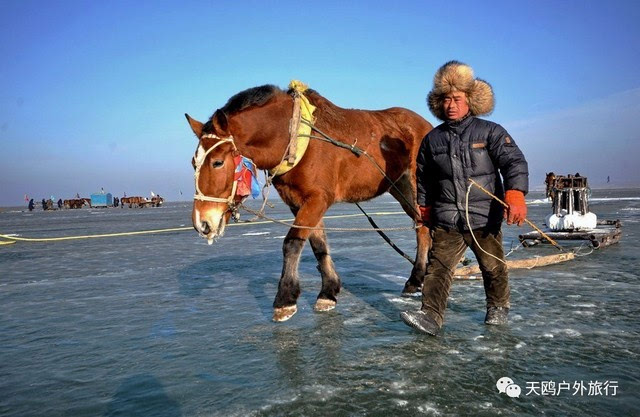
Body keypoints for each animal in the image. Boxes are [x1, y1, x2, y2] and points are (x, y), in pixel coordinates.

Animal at [188, 83, 432, 318]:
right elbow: (318, 244)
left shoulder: (318, 198)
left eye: (217, 162)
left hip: (415, 185)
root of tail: (426, 125)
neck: (292, 137)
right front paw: (329, 291)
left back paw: (416, 278)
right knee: (421, 225)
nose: (202, 222)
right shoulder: (297, 201)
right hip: (399, 187)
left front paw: (285, 299)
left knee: (423, 228)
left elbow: (292, 242)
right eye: (193, 162)